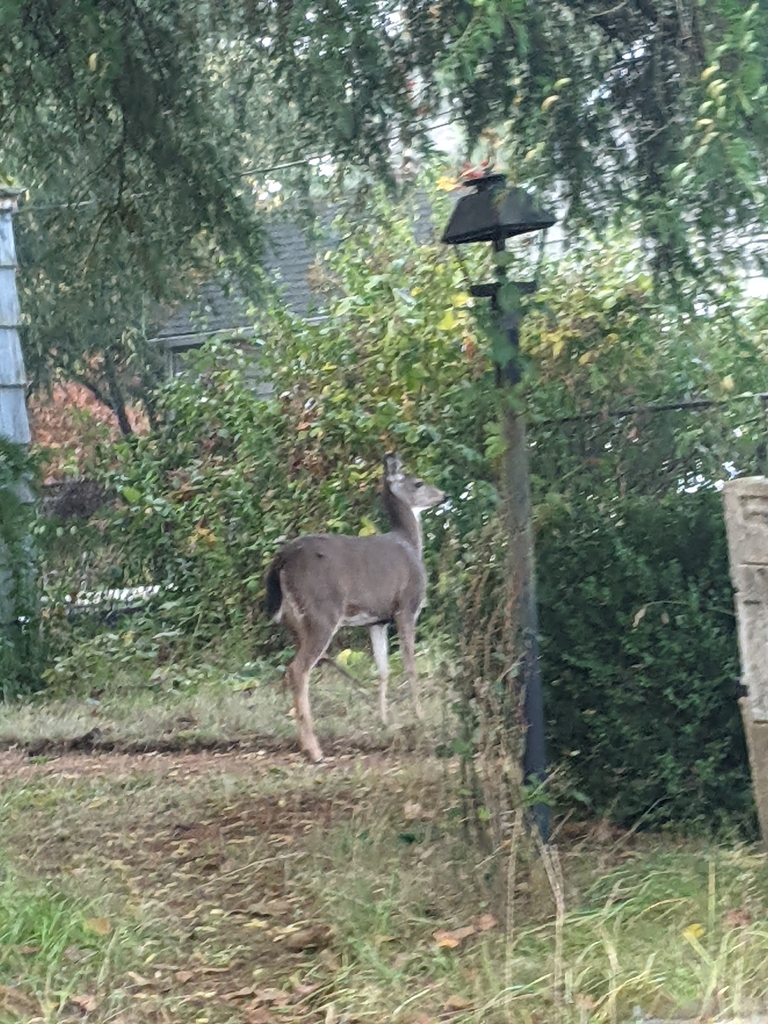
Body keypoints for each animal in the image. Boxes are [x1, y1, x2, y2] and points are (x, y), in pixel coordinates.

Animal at [265, 454, 446, 762]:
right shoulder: (406, 607)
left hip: (293, 619)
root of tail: (281, 559)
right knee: (298, 669)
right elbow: (410, 665)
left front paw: (383, 721)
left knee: (295, 669)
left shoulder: (377, 620)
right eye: (419, 482)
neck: (409, 544)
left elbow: (383, 669)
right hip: (322, 612)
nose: (443, 495)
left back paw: (305, 742)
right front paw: (420, 716)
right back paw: (314, 749)